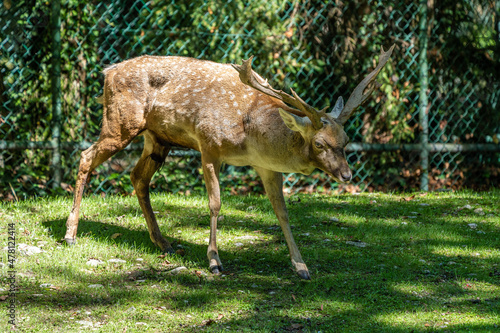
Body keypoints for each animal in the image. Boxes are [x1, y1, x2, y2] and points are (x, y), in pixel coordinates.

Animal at [64, 44, 394, 278]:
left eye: (346, 140)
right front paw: (214, 261)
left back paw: (163, 242)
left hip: (157, 138)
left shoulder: (266, 166)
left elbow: (282, 212)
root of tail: (108, 71)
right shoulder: (208, 145)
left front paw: (301, 266)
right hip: (120, 122)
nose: (347, 175)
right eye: (320, 143)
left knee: (137, 177)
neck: (250, 133)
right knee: (85, 157)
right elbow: (215, 203)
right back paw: (70, 234)